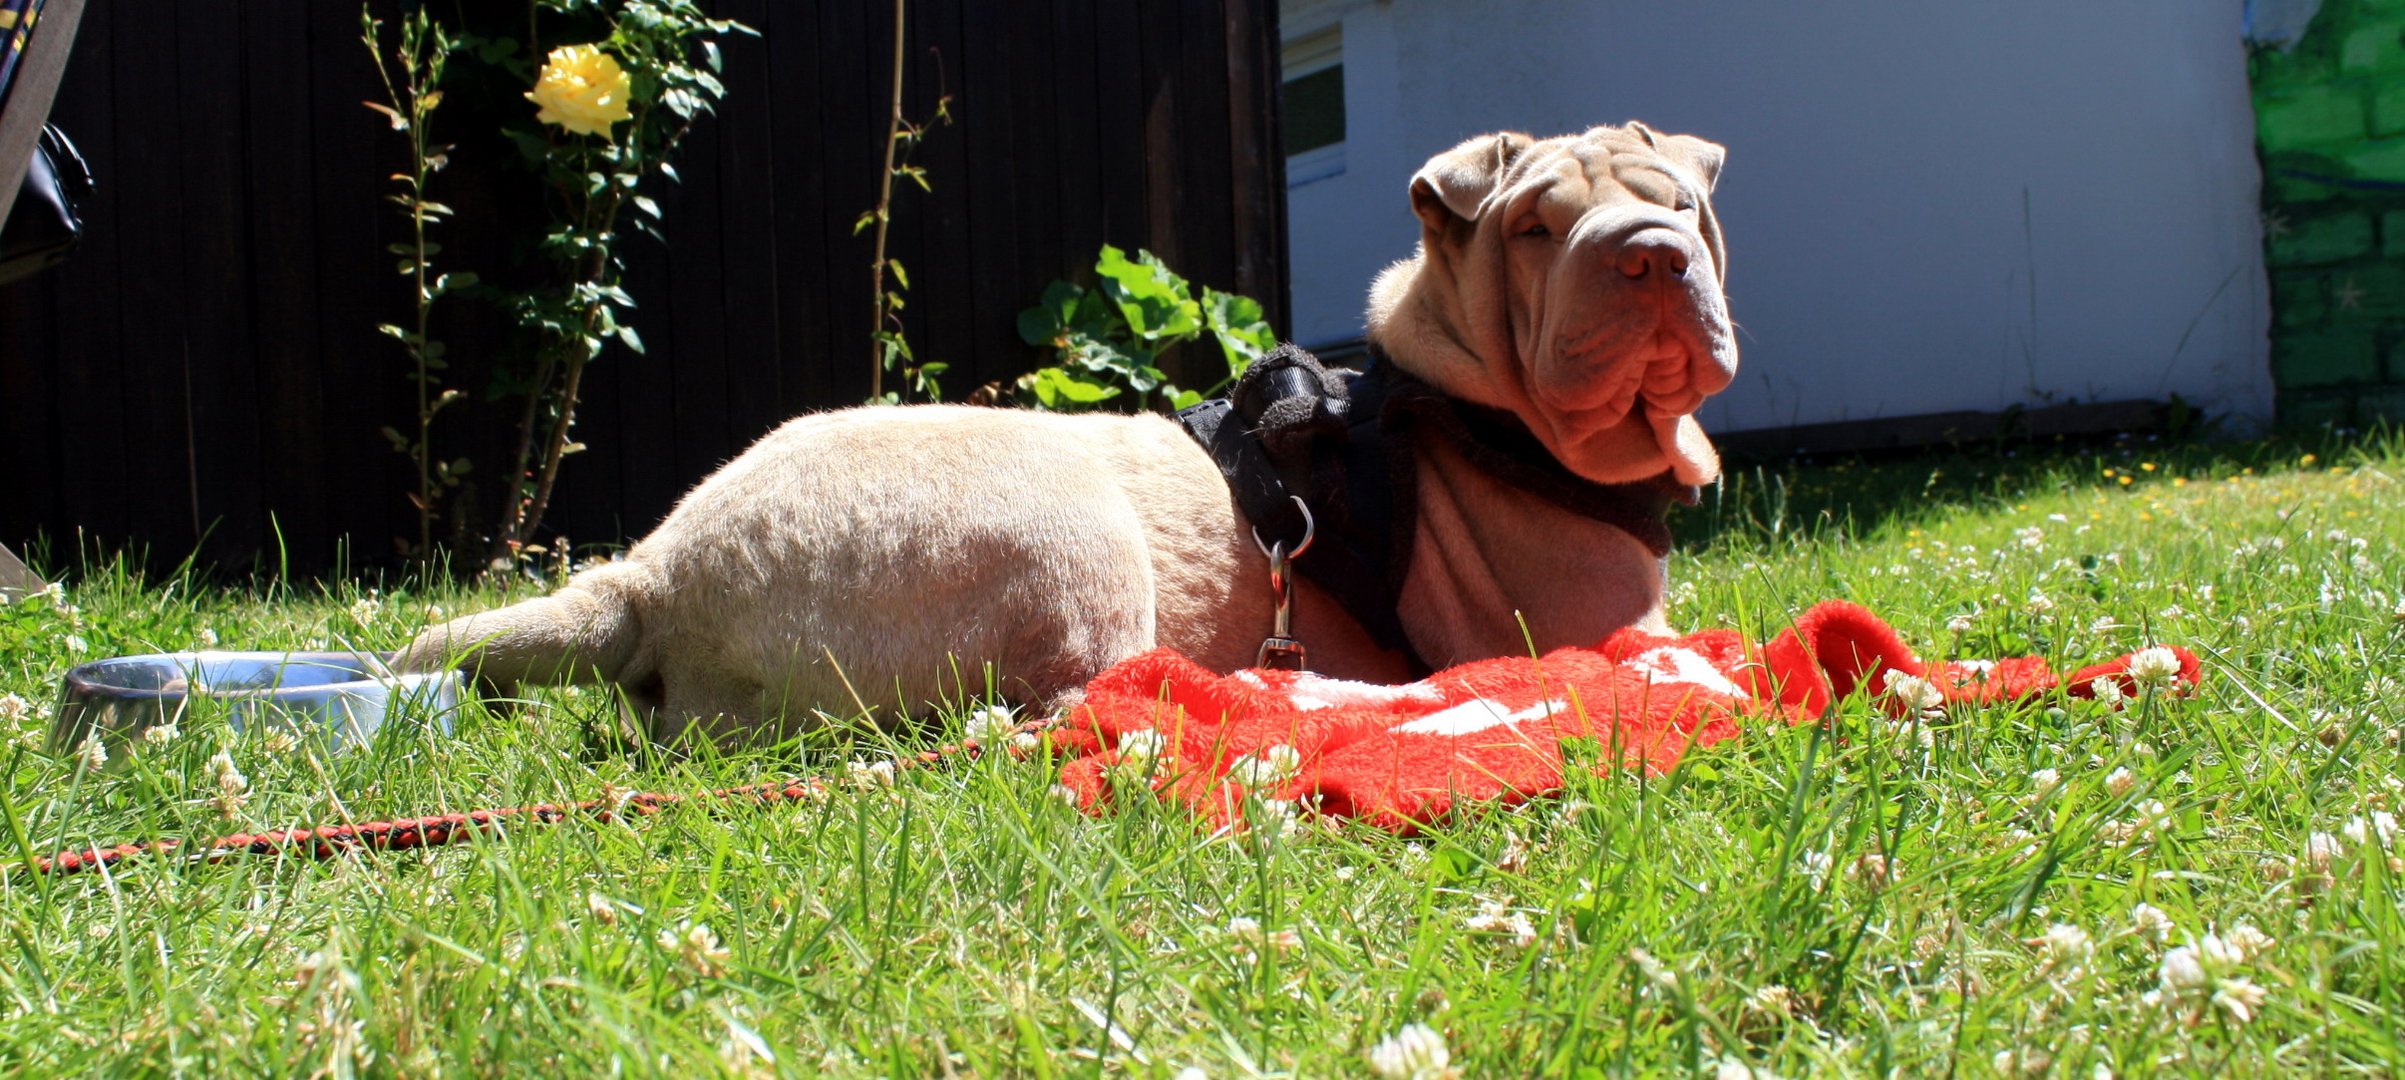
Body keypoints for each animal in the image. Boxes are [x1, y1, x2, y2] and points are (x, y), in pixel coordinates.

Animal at [404, 117, 1741, 740]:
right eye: (1534, 229)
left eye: (1682, 205)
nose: (1649, 253)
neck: (1449, 397)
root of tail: (652, 573)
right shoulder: (1603, 628)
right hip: (1071, 538)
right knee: (1061, 710)